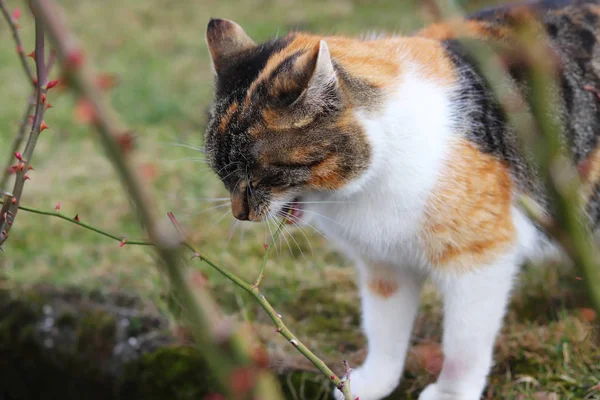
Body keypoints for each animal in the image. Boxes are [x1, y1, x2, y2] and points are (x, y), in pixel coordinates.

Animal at [203, 1, 600, 398]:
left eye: (258, 175)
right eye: (222, 174)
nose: (239, 213)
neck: (365, 189)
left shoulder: (481, 256)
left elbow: (464, 340)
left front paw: (451, 392)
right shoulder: (384, 262)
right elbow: (384, 328)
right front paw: (371, 382)